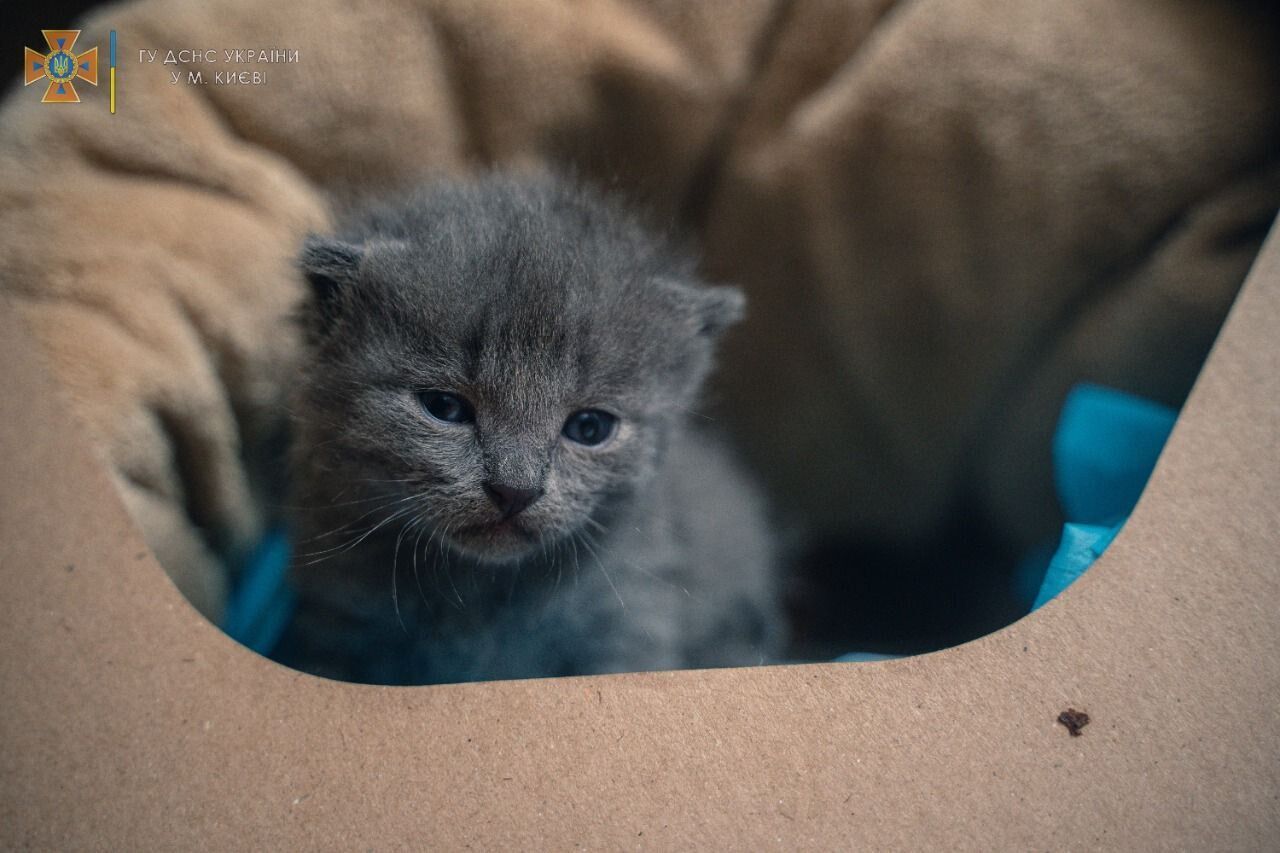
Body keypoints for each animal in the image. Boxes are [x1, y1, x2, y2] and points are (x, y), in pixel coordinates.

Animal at [276, 174, 778, 686]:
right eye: (444, 407)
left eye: (589, 427)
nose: (515, 490)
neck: (478, 597)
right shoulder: (334, 624)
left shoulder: (633, 622)